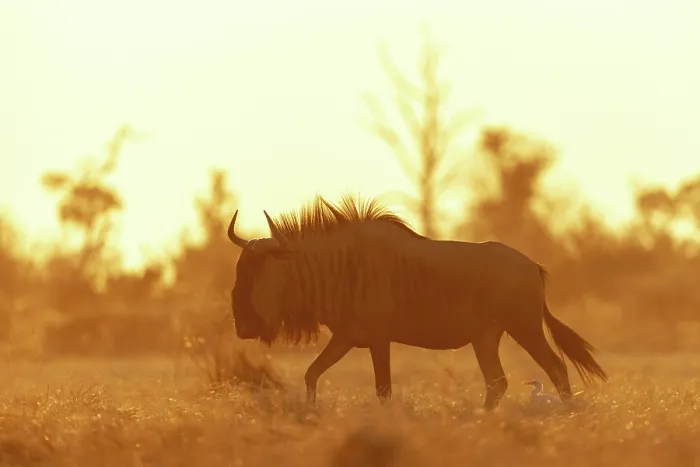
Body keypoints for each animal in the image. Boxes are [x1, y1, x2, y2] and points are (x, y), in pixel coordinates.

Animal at [227, 194, 608, 410]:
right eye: (238, 269)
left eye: (256, 271)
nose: (242, 326)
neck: (339, 266)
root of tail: (533, 267)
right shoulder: (346, 338)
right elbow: (311, 373)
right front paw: (311, 412)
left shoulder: (379, 340)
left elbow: (383, 390)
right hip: (486, 338)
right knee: (497, 382)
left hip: (524, 328)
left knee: (555, 368)